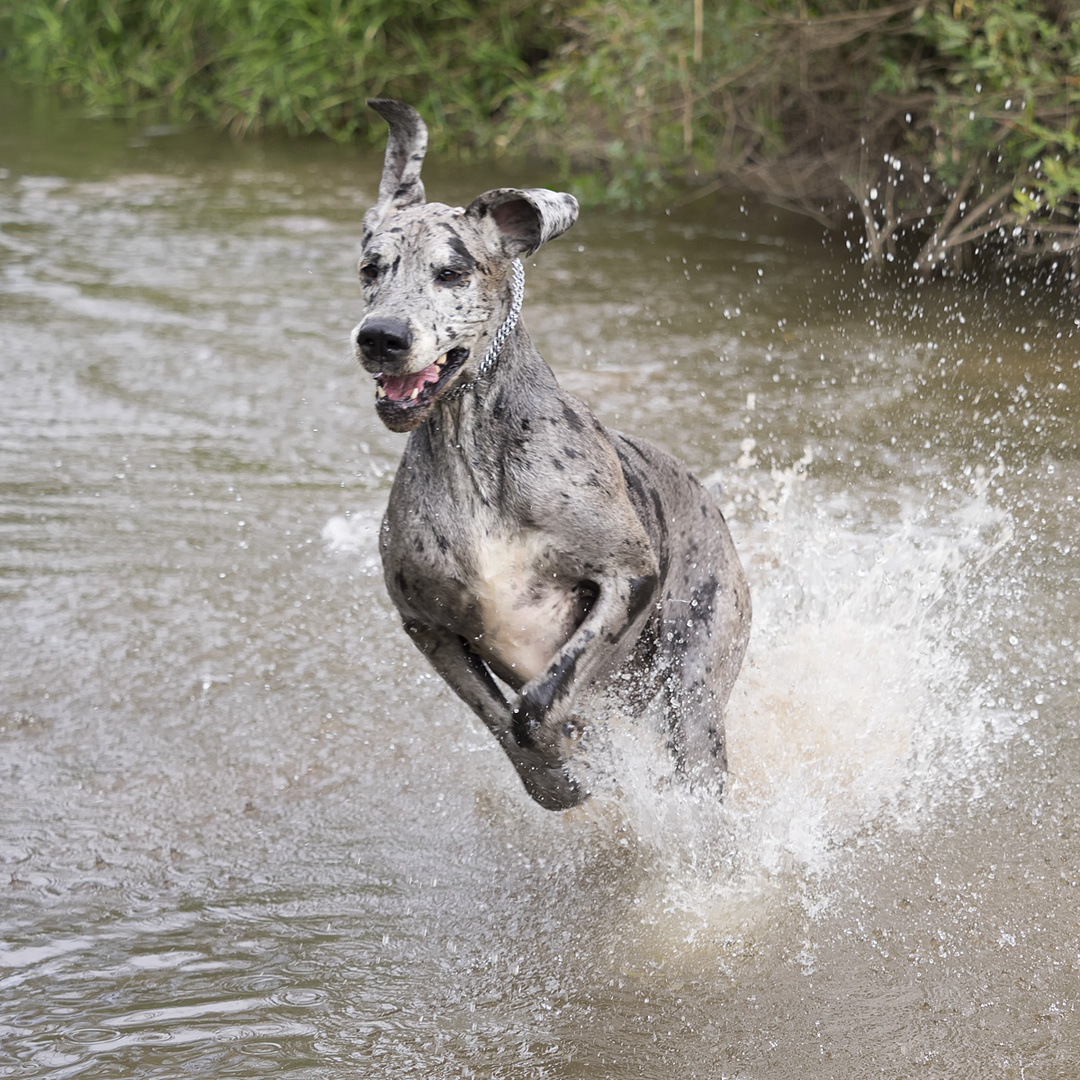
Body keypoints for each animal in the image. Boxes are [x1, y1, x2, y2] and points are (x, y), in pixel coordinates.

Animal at [354, 101, 751, 812]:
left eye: (450, 272)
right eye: (372, 269)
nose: (381, 337)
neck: (471, 451)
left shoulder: (626, 577)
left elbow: (539, 703)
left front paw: (568, 744)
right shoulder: (426, 624)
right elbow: (499, 719)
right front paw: (554, 780)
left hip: (696, 687)